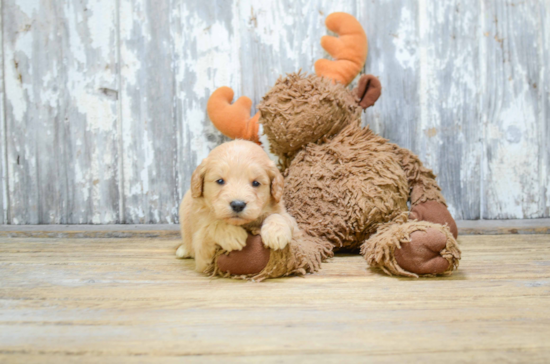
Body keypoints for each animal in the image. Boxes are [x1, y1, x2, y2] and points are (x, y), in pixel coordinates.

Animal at [176, 141, 298, 272]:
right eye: (220, 181)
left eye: (256, 183)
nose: (238, 205)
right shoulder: (202, 257)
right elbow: (212, 226)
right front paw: (231, 234)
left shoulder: (290, 221)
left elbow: (278, 216)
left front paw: (276, 232)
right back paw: (183, 250)